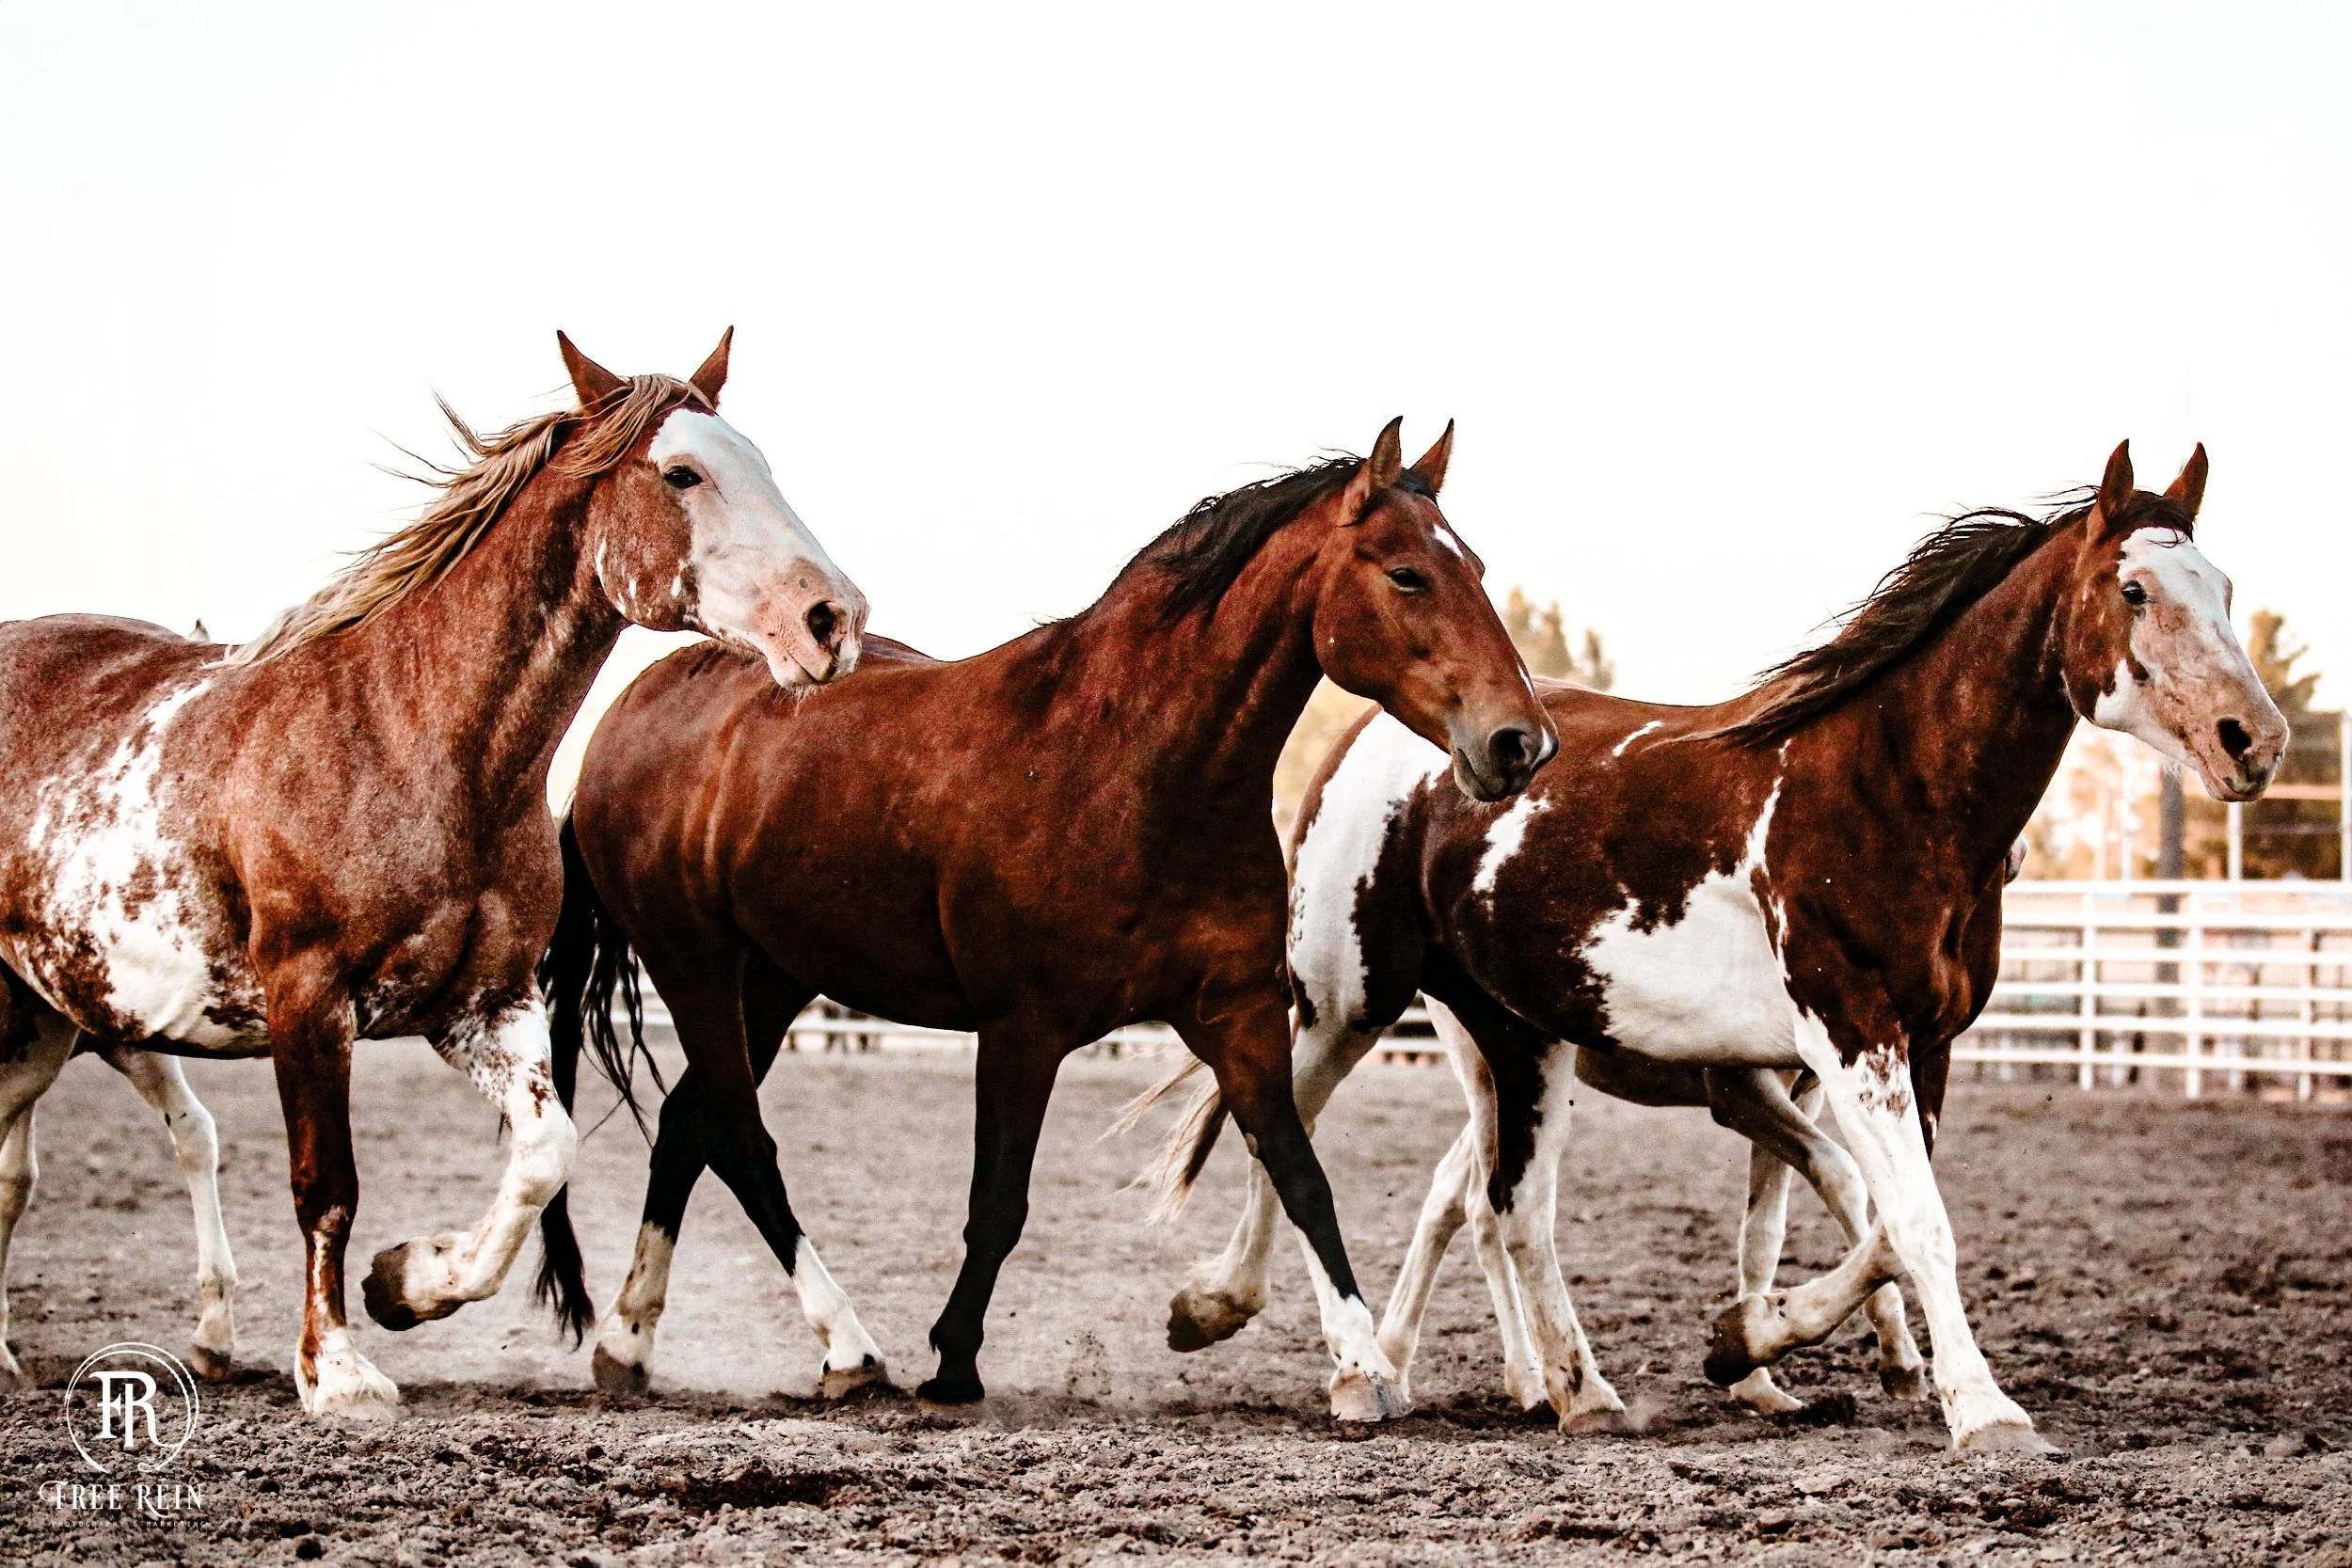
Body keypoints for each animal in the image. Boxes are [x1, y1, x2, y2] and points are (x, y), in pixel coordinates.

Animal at [0, 331, 866, 1417]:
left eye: (760, 462)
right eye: (681, 472)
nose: (833, 618)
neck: (406, 737)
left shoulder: (483, 1003)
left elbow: (543, 1157)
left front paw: (407, 1281)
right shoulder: (308, 1000)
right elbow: (325, 1185)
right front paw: (335, 1368)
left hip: (45, 1023)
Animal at [536, 419, 1557, 1417]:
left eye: (1472, 565)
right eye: (1406, 573)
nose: (1519, 741)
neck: (1130, 766)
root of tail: (629, 712)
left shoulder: (1238, 1018)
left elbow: (1299, 1174)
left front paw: (1359, 1364)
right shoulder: (1021, 1031)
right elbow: (998, 1204)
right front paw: (953, 1360)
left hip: (776, 978)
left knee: (687, 1126)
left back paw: (628, 1342)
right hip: (695, 964)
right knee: (741, 1140)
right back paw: (848, 1349)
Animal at [1138, 442, 2287, 1451]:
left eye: (2225, 586)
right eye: (2133, 589)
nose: (2253, 738)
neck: (1889, 787)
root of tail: (1393, 742)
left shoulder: (1919, 1046)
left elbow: (1872, 1221)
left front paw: (1752, 1340)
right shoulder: (1844, 1036)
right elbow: (1910, 1219)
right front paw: (1981, 1408)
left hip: (1520, 1040)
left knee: (1506, 1207)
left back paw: (1573, 1390)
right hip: (1349, 1002)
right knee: (1290, 1128)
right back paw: (1274, 1329)